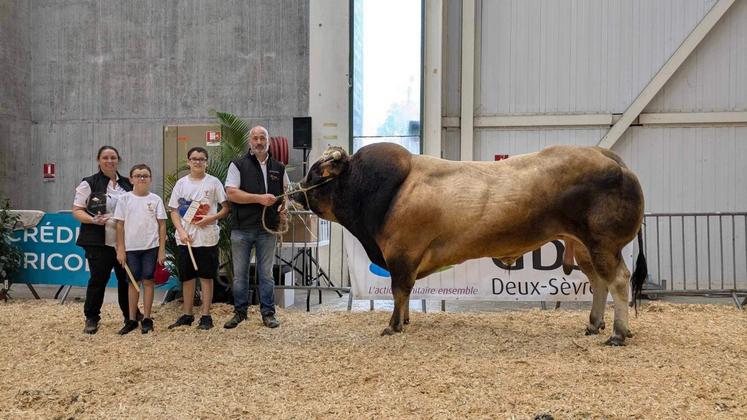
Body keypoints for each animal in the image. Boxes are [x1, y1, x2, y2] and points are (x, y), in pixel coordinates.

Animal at [292, 141, 648, 344]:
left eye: (317, 173)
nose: (294, 192)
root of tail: (607, 156)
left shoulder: (401, 255)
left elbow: (398, 290)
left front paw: (393, 326)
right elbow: (404, 293)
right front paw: (405, 320)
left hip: (603, 244)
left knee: (618, 281)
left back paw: (617, 333)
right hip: (585, 246)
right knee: (599, 283)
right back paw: (594, 325)